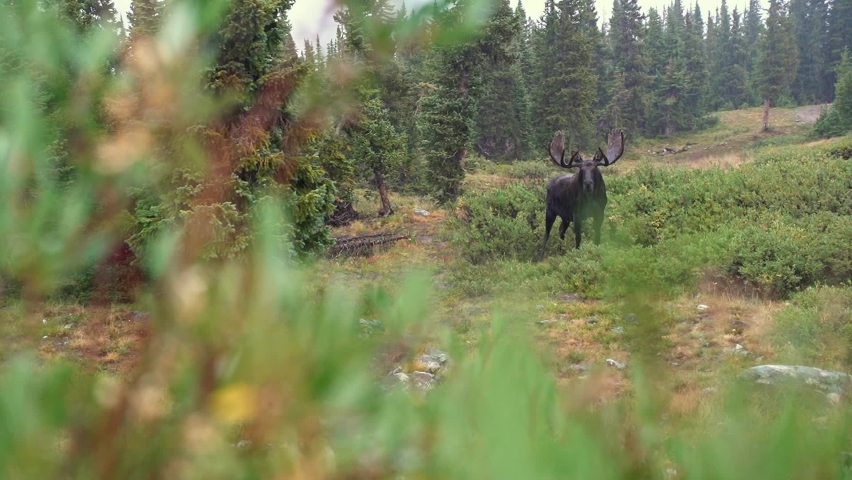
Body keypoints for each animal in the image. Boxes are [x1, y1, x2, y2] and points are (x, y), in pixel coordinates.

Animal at [536, 129, 625, 262]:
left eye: (594, 169)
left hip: (565, 217)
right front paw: (577, 255)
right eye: (581, 170)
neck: (591, 200)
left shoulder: (599, 213)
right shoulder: (577, 214)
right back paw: (539, 258)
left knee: (561, 230)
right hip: (550, 211)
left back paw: (561, 250)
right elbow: (578, 239)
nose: (588, 184)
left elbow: (597, 235)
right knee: (546, 234)